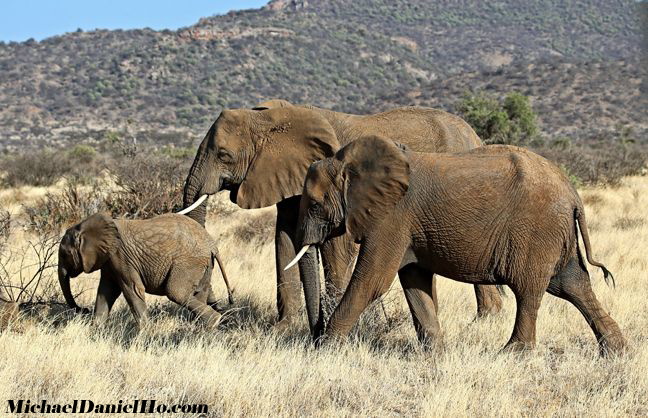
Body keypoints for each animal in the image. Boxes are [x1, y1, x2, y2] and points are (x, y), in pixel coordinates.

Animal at [55, 214, 233, 328]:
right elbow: (106, 292)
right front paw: (96, 330)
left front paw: (145, 333)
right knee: (198, 293)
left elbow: (133, 290)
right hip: (204, 265)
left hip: (188, 262)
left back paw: (213, 323)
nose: (84, 310)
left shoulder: (121, 257)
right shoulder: (109, 260)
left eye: (64, 254)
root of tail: (212, 244)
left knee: (176, 292)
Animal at [180, 99, 504, 334]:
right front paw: (282, 330)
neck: (272, 117)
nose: (221, 305)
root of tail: (474, 135)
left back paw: (484, 323)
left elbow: (336, 248)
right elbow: (284, 241)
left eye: (223, 155)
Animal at [288, 137, 624, 356]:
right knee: (572, 285)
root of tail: (573, 192)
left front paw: (325, 351)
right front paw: (435, 355)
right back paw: (616, 351)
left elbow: (372, 282)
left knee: (530, 290)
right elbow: (415, 283)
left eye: (315, 205)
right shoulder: (409, 226)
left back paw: (512, 354)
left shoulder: (392, 217)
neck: (347, 163)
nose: (312, 338)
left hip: (537, 232)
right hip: (555, 233)